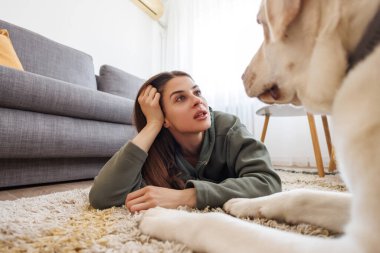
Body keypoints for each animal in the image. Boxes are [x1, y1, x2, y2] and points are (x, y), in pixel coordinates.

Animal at [139, 0, 380, 252]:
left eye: (261, 23)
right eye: (181, 97)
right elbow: (300, 195)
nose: (242, 76)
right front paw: (243, 203)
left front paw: (162, 215)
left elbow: (215, 222)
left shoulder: (360, 243)